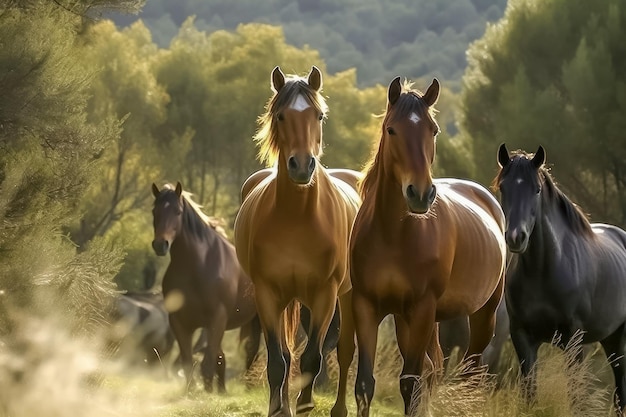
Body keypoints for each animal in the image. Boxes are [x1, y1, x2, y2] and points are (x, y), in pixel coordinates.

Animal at [150, 181, 260, 390]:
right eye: (154, 211)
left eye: (177, 211)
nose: (160, 245)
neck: (198, 267)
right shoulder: (180, 322)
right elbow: (188, 362)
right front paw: (193, 392)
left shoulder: (217, 319)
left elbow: (207, 364)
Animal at [233, 66, 360, 416]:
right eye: (280, 115)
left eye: (319, 115)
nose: (302, 166)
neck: (297, 217)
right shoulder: (267, 293)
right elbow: (279, 361)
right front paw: (279, 409)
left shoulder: (325, 295)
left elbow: (313, 358)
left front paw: (305, 405)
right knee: (288, 354)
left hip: (345, 296)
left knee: (345, 351)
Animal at [348, 76, 504, 414]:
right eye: (392, 129)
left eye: (433, 130)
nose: (420, 194)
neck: (392, 234)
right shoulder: (367, 306)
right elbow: (365, 384)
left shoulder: (421, 309)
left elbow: (410, 382)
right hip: (415, 321)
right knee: (435, 370)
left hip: (481, 315)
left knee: (468, 376)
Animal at [494, 144, 626, 410]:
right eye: (503, 187)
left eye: (536, 189)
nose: (515, 237)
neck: (543, 271)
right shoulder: (523, 338)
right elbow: (530, 395)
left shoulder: (573, 341)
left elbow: (576, 398)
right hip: (611, 337)